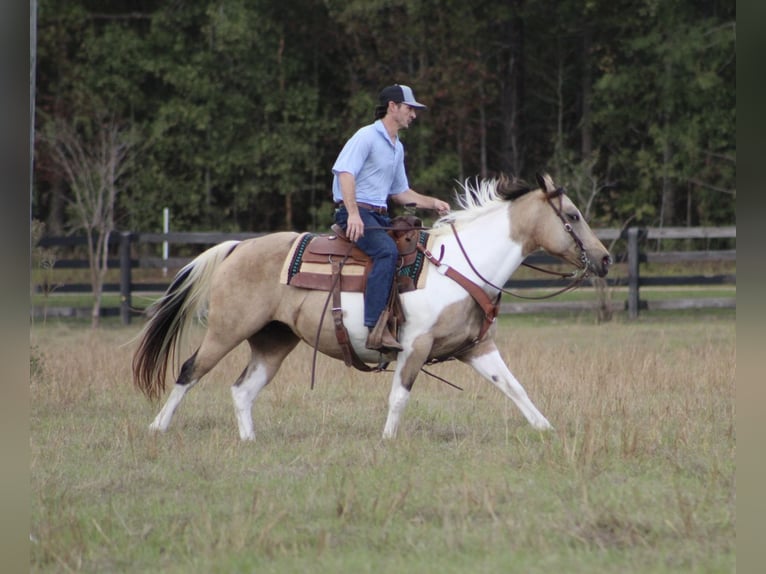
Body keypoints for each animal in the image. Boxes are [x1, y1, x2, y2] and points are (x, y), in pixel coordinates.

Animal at [132, 173, 612, 444]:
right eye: (572, 215)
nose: (605, 258)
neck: (460, 265)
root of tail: (236, 247)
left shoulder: (477, 348)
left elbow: (514, 387)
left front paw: (546, 430)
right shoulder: (414, 347)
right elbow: (399, 397)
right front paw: (387, 441)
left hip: (274, 341)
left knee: (242, 390)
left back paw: (249, 442)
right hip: (226, 330)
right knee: (189, 371)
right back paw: (156, 429)